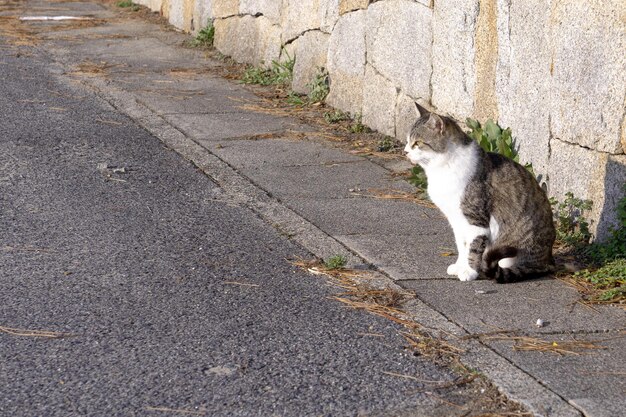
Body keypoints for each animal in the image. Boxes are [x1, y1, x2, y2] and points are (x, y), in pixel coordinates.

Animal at [402, 103, 552, 282]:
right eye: (407, 141)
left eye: (417, 143)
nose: (405, 151)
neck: (443, 168)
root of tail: (547, 260)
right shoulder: (456, 220)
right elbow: (462, 245)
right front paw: (460, 266)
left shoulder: (476, 219)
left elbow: (473, 247)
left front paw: (469, 271)